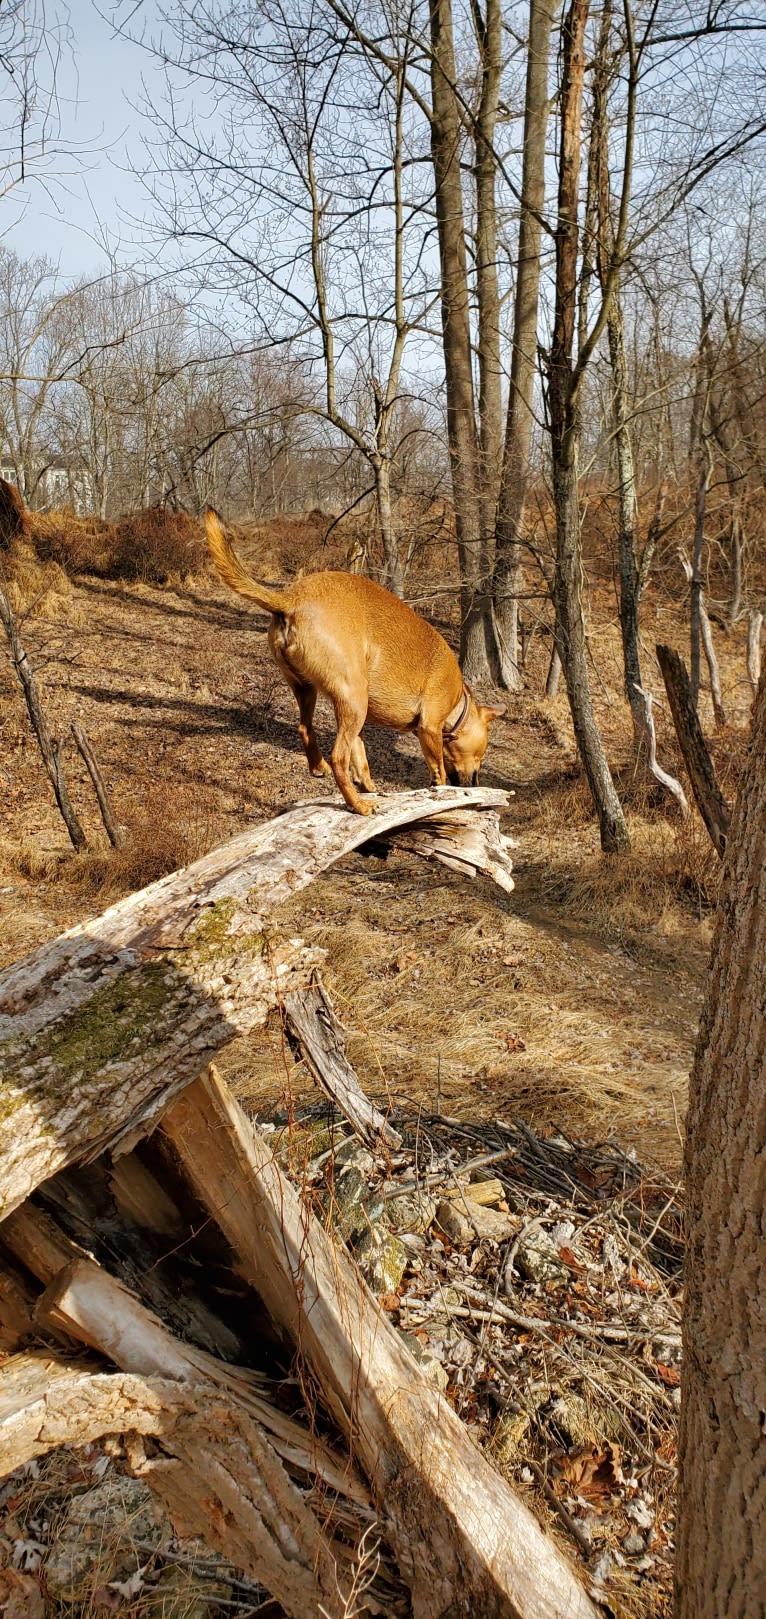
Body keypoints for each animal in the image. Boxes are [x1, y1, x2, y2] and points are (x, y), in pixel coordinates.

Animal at [204, 511, 502, 815]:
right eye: (481, 755)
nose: (475, 784)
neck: (458, 703)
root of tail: (291, 600)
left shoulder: (358, 719)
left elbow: (360, 754)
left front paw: (367, 783)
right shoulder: (428, 728)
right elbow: (437, 769)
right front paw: (439, 793)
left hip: (312, 691)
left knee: (305, 728)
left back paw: (320, 767)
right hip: (354, 698)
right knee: (338, 758)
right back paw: (357, 804)